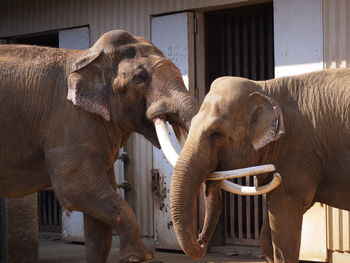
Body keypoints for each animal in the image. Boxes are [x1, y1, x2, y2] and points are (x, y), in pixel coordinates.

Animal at [0, 29, 200, 262]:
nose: (201, 244)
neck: (86, 56)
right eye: (140, 78)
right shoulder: (70, 123)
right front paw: (139, 257)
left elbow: (99, 221)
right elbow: (76, 189)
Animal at [168, 70, 350, 263]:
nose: (201, 241)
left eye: (216, 133)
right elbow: (268, 228)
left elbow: (283, 217)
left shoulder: (297, 152)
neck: (265, 88)